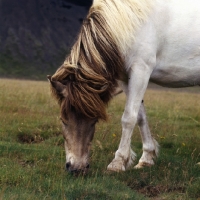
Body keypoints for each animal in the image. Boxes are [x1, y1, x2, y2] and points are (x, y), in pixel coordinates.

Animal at [48, 0, 200, 173]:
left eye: (94, 121)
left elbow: (129, 118)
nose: (76, 168)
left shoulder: (141, 70)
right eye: (63, 120)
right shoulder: (125, 79)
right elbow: (140, 116)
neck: (131, 22)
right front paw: (146, 158)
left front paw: (118, 162)